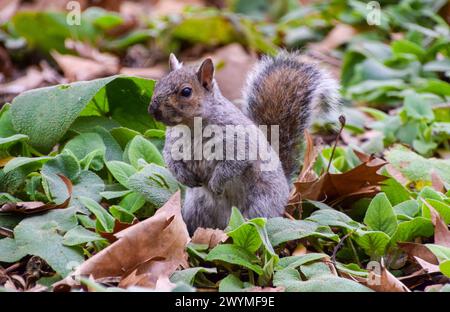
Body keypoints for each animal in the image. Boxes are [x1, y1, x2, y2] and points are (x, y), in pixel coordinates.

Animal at [149, 51, 340, 234]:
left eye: (186, 92)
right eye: (158, 84)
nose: (153, 110)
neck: (191, 127)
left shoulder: (239, 142)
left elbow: (233, 164)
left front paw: (216, 184)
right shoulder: (173, 144)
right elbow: (171, 160)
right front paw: (184, 177)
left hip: (259, 206)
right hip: (196, 207)